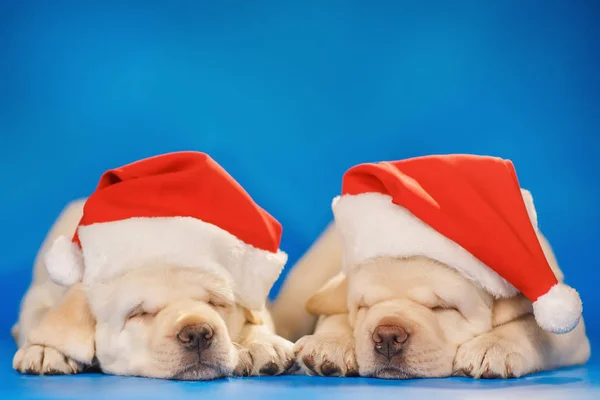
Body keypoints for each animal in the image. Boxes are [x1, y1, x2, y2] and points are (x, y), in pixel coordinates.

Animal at [12, 199, 294, 378]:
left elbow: (257, 320)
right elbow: (43, 322)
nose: (197, 333)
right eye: (139, 314)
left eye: (215, 302)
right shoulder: (40, 298)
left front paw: (262, 343)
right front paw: (46, 349)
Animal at [276, 225, 592, 378]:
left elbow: (533, 328)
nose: (387, 336)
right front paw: (329, 344)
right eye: (364, 306)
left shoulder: (568, 327)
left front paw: (492, 347)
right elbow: (336, 314)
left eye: (444, 308)